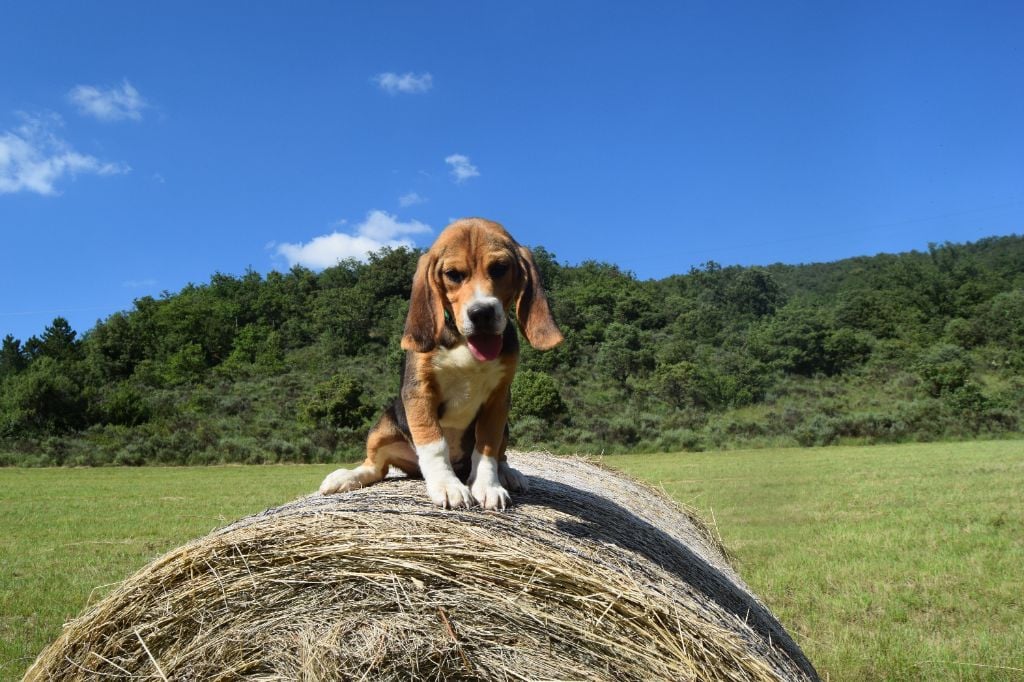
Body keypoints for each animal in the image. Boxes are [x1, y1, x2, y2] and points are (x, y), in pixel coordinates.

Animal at [317, 215, 565, 507]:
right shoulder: (420, 391)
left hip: (505, 425)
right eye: (453, 275)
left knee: (500, 453)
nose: (481, 313)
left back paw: (508, 474)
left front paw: (488, 486)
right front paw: (447, 486)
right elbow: (434, 443)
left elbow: (487, 447)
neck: (463, 341)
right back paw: (345, 477)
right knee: (376, 467)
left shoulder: (498, 399)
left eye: (500, 268)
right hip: (383, 428)